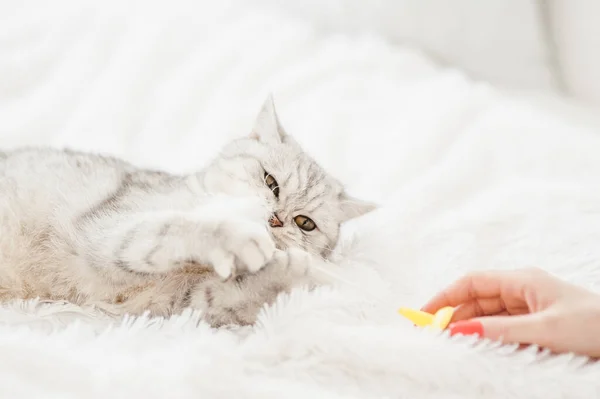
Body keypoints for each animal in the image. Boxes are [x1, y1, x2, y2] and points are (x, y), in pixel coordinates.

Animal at [0, 97, 376, 328]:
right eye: (271, 183)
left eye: (304, 223)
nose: (276, 220)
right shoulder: (105, 233)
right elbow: (171, 229)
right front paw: (236, 238)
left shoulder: (178, 304)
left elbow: (237, 296)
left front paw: (295, 271)